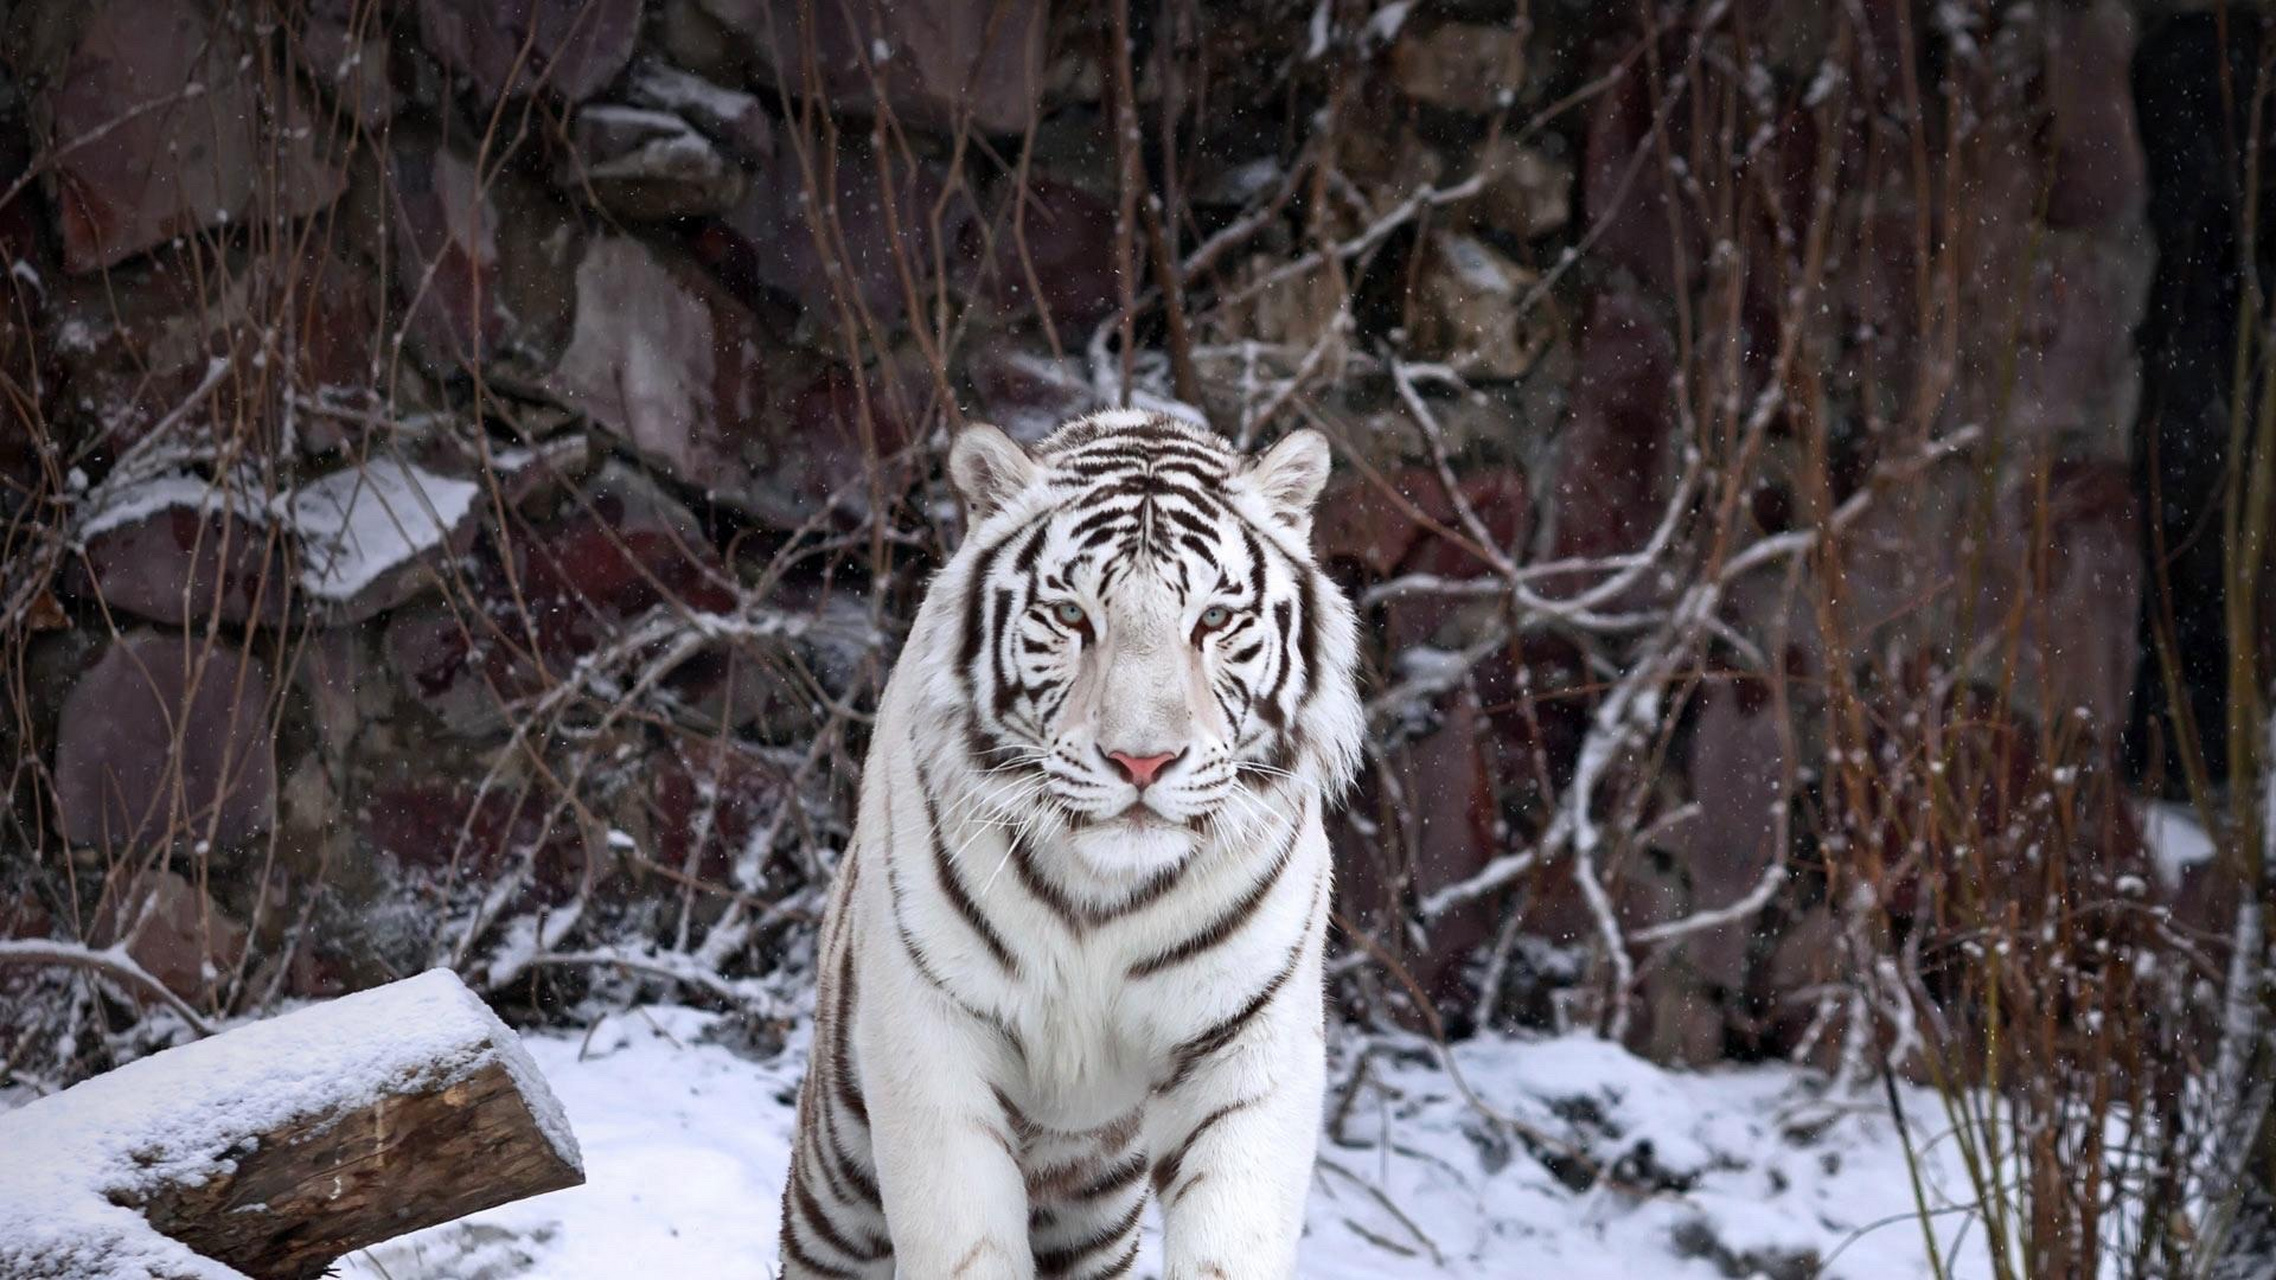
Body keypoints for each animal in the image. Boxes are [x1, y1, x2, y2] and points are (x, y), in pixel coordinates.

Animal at [773, 407, 1356, 1275]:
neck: (1104, 892)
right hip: (836, 1182)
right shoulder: (932, 1033)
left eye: (1214, 620)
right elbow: (965, 1241)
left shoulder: (1248, 1044)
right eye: (1074, 617)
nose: (1142, 759)